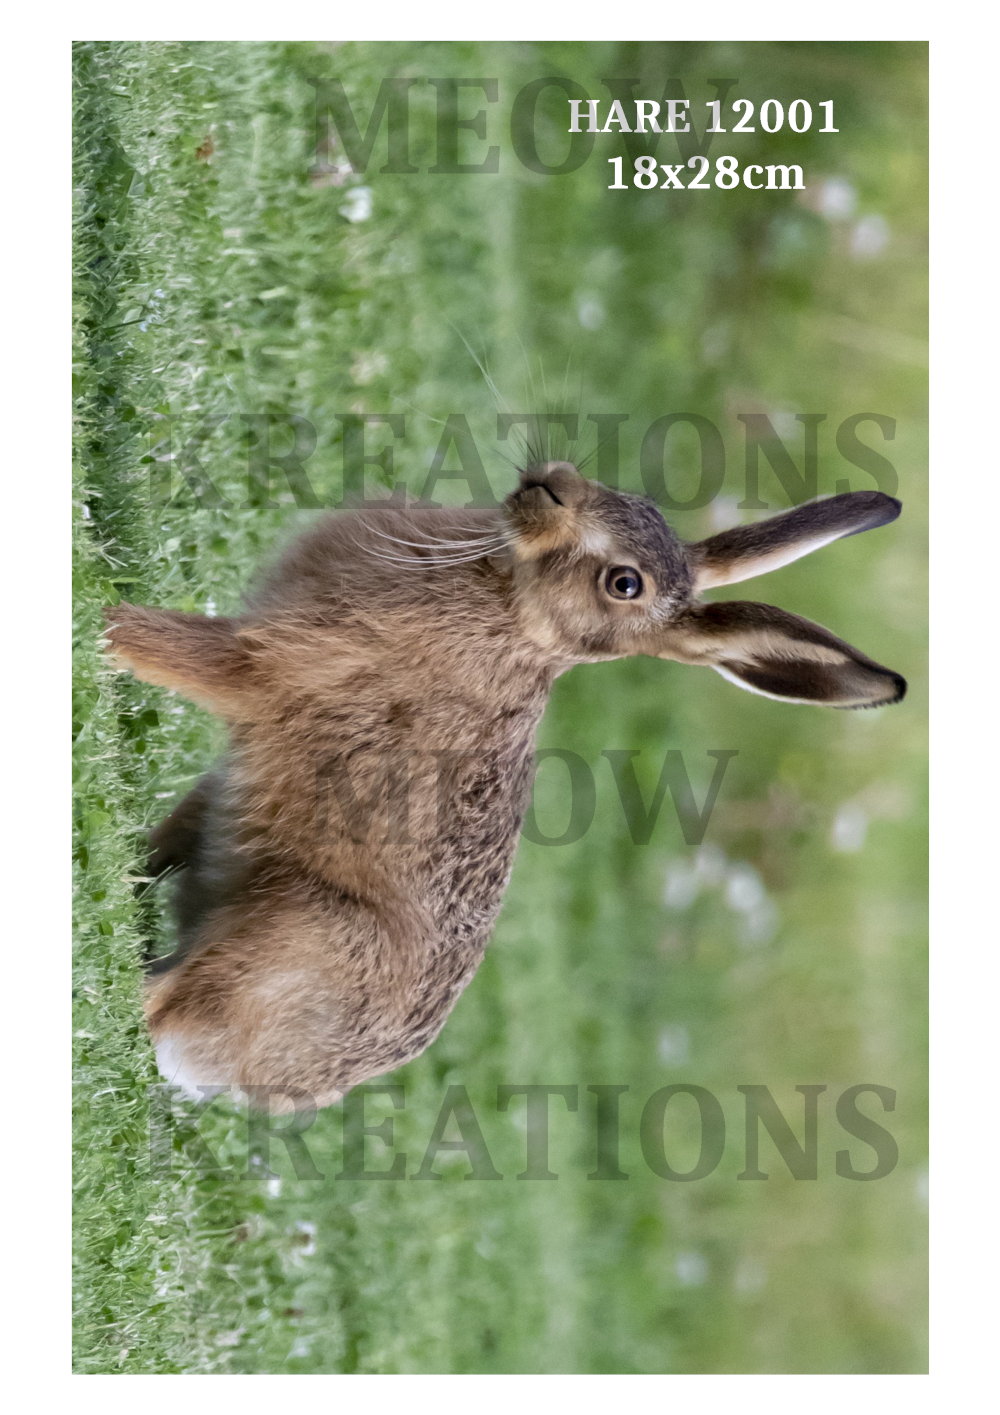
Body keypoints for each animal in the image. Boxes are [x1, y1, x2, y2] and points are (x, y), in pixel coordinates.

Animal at [104, 463, 905, 1111]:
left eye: (624, 584)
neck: (511, 603)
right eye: (632, 497)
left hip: (294, 928)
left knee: (153, 1006)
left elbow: (170, 646)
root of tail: (245, 1078)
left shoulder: (268, 668)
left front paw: (103, 619)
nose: (552, 485)